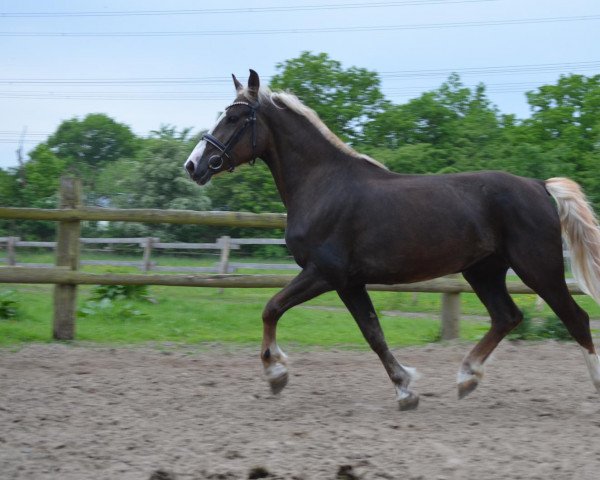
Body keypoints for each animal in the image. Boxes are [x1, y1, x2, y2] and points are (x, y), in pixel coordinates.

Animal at [183, 69, 600, 410]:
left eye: (234, 118)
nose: (193, 165)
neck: (323, 185)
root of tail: (538, 185)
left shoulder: (324, 273)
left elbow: (272, 308)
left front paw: (276, 374)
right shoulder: (349, 282)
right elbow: (373, 333)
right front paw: (405, 389)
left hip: (538, 268)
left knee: (576, 319)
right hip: (484, 271)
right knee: (507, 316)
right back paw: (466, 378)